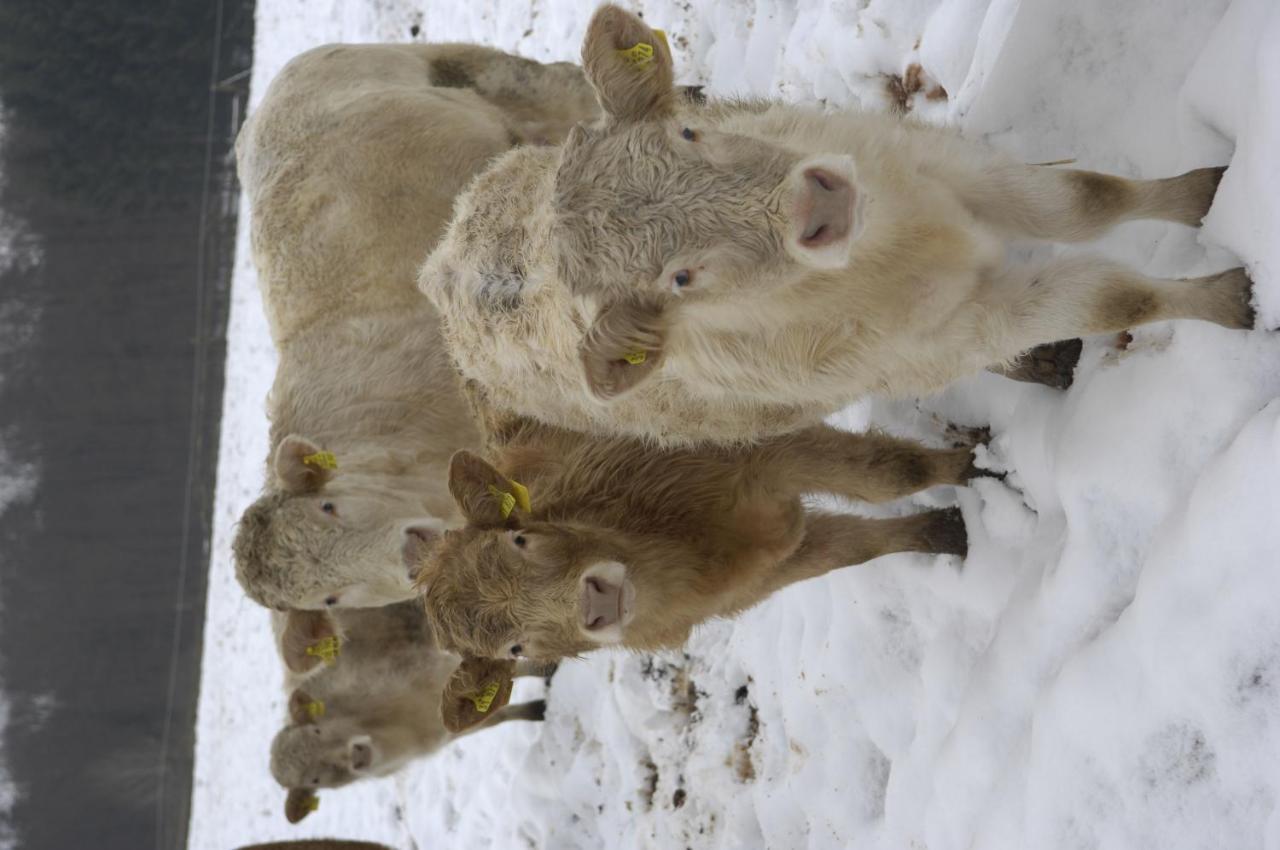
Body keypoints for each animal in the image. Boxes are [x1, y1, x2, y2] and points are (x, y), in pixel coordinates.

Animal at [272, 601, 547, 819]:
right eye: (314, 781)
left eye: (318, 730)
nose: (356, 755)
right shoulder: (445, 728)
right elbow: (499, 716)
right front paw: (539, 709)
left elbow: (513, 670)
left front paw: (547, 671)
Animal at [414, 412, 972, 665]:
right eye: (514, 649)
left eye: (520, 540)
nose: (597, 602)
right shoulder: (775, 564)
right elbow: (857, 546)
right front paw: (952, 531)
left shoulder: (761, 449)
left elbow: (891, 472)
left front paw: (976, 461)